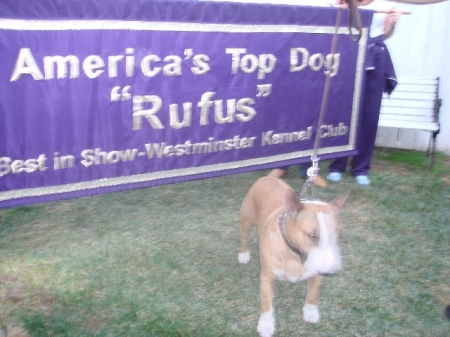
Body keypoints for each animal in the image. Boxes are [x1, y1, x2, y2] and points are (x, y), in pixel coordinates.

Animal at [239, 175, 348, 334]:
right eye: (311, 235)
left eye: (336, 233)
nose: (329, 273)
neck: (294, 255)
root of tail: (268, 177)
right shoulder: (266, 276)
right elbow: (266, 303)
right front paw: (266, 325)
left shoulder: (315, 274)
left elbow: (312, 296)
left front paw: (310, 313)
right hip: (246, 219)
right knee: (244, 237)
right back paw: (243, 255)